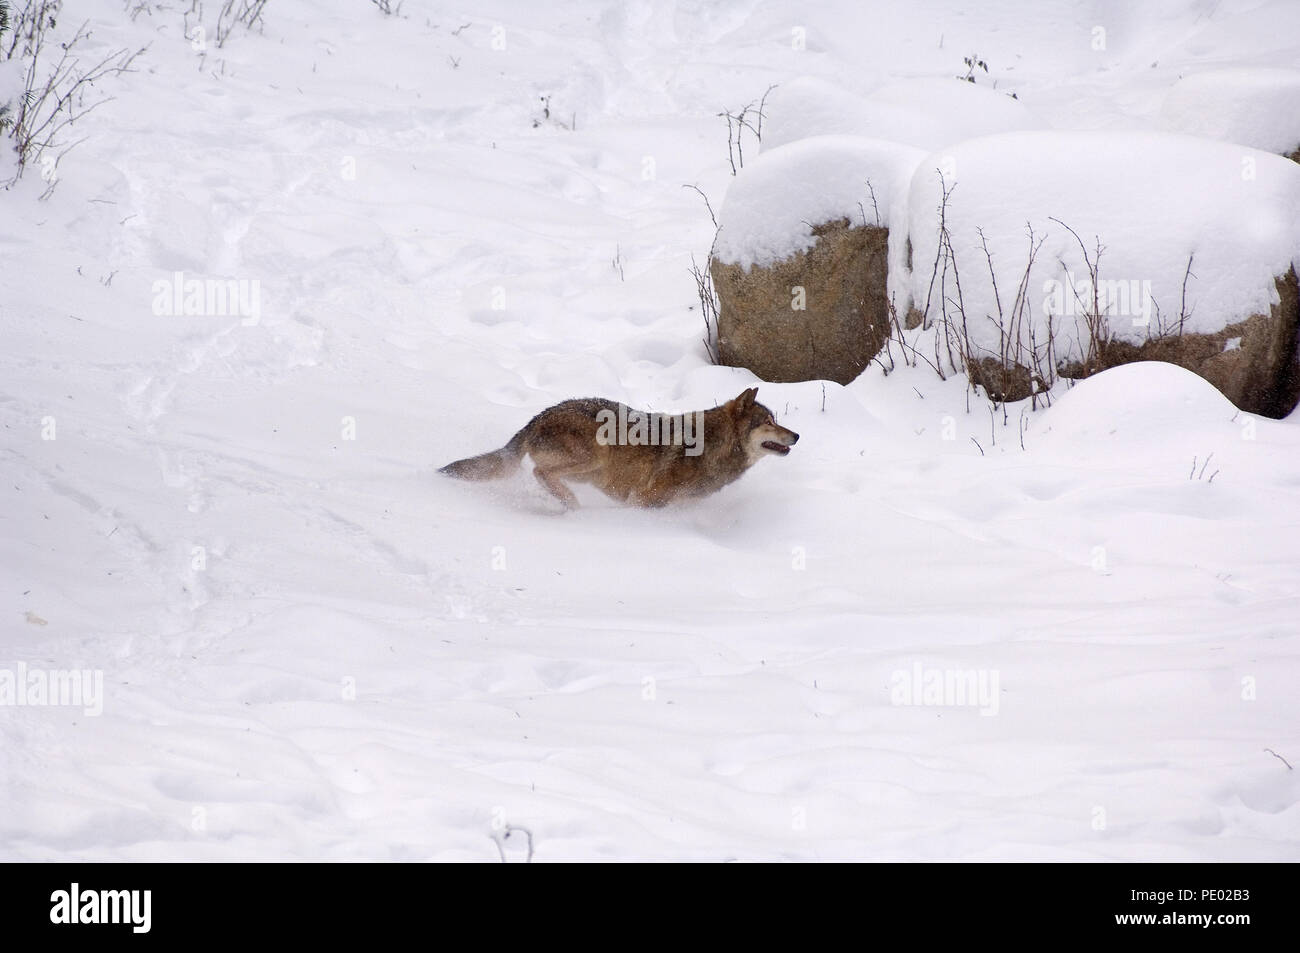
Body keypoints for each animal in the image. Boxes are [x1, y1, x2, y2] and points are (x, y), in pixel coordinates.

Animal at [439, 387, 798, 508]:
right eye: (769, 421)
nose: (796, 436)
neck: (713, 445)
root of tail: (539, 416)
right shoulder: (645, 500)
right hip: (595, 457)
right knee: (540, 472)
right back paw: (571, 505)